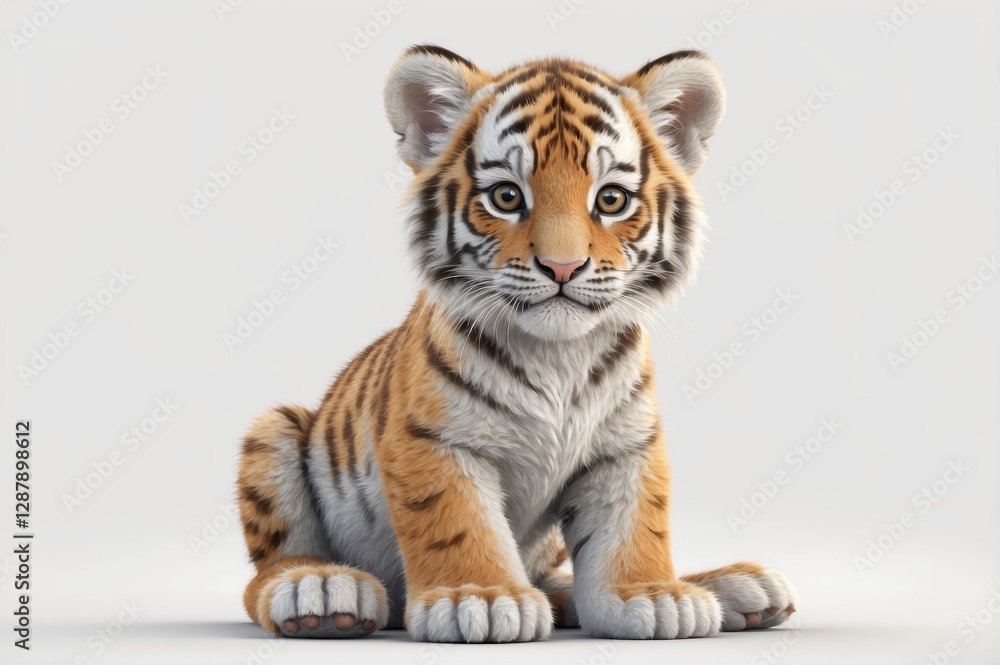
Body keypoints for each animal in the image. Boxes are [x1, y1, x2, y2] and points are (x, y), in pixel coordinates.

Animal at [237, 45, 797, 643]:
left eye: (611, 199)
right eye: (507, 196)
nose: (562, 266)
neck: (558, 357)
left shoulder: (627, 446)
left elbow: (635, 524)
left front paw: (650, 594)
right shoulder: (435, 441)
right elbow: (458, 520)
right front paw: (477, 598)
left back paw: (735, 587)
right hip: (274, 432)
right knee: (267, 573)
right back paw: (318, 588)